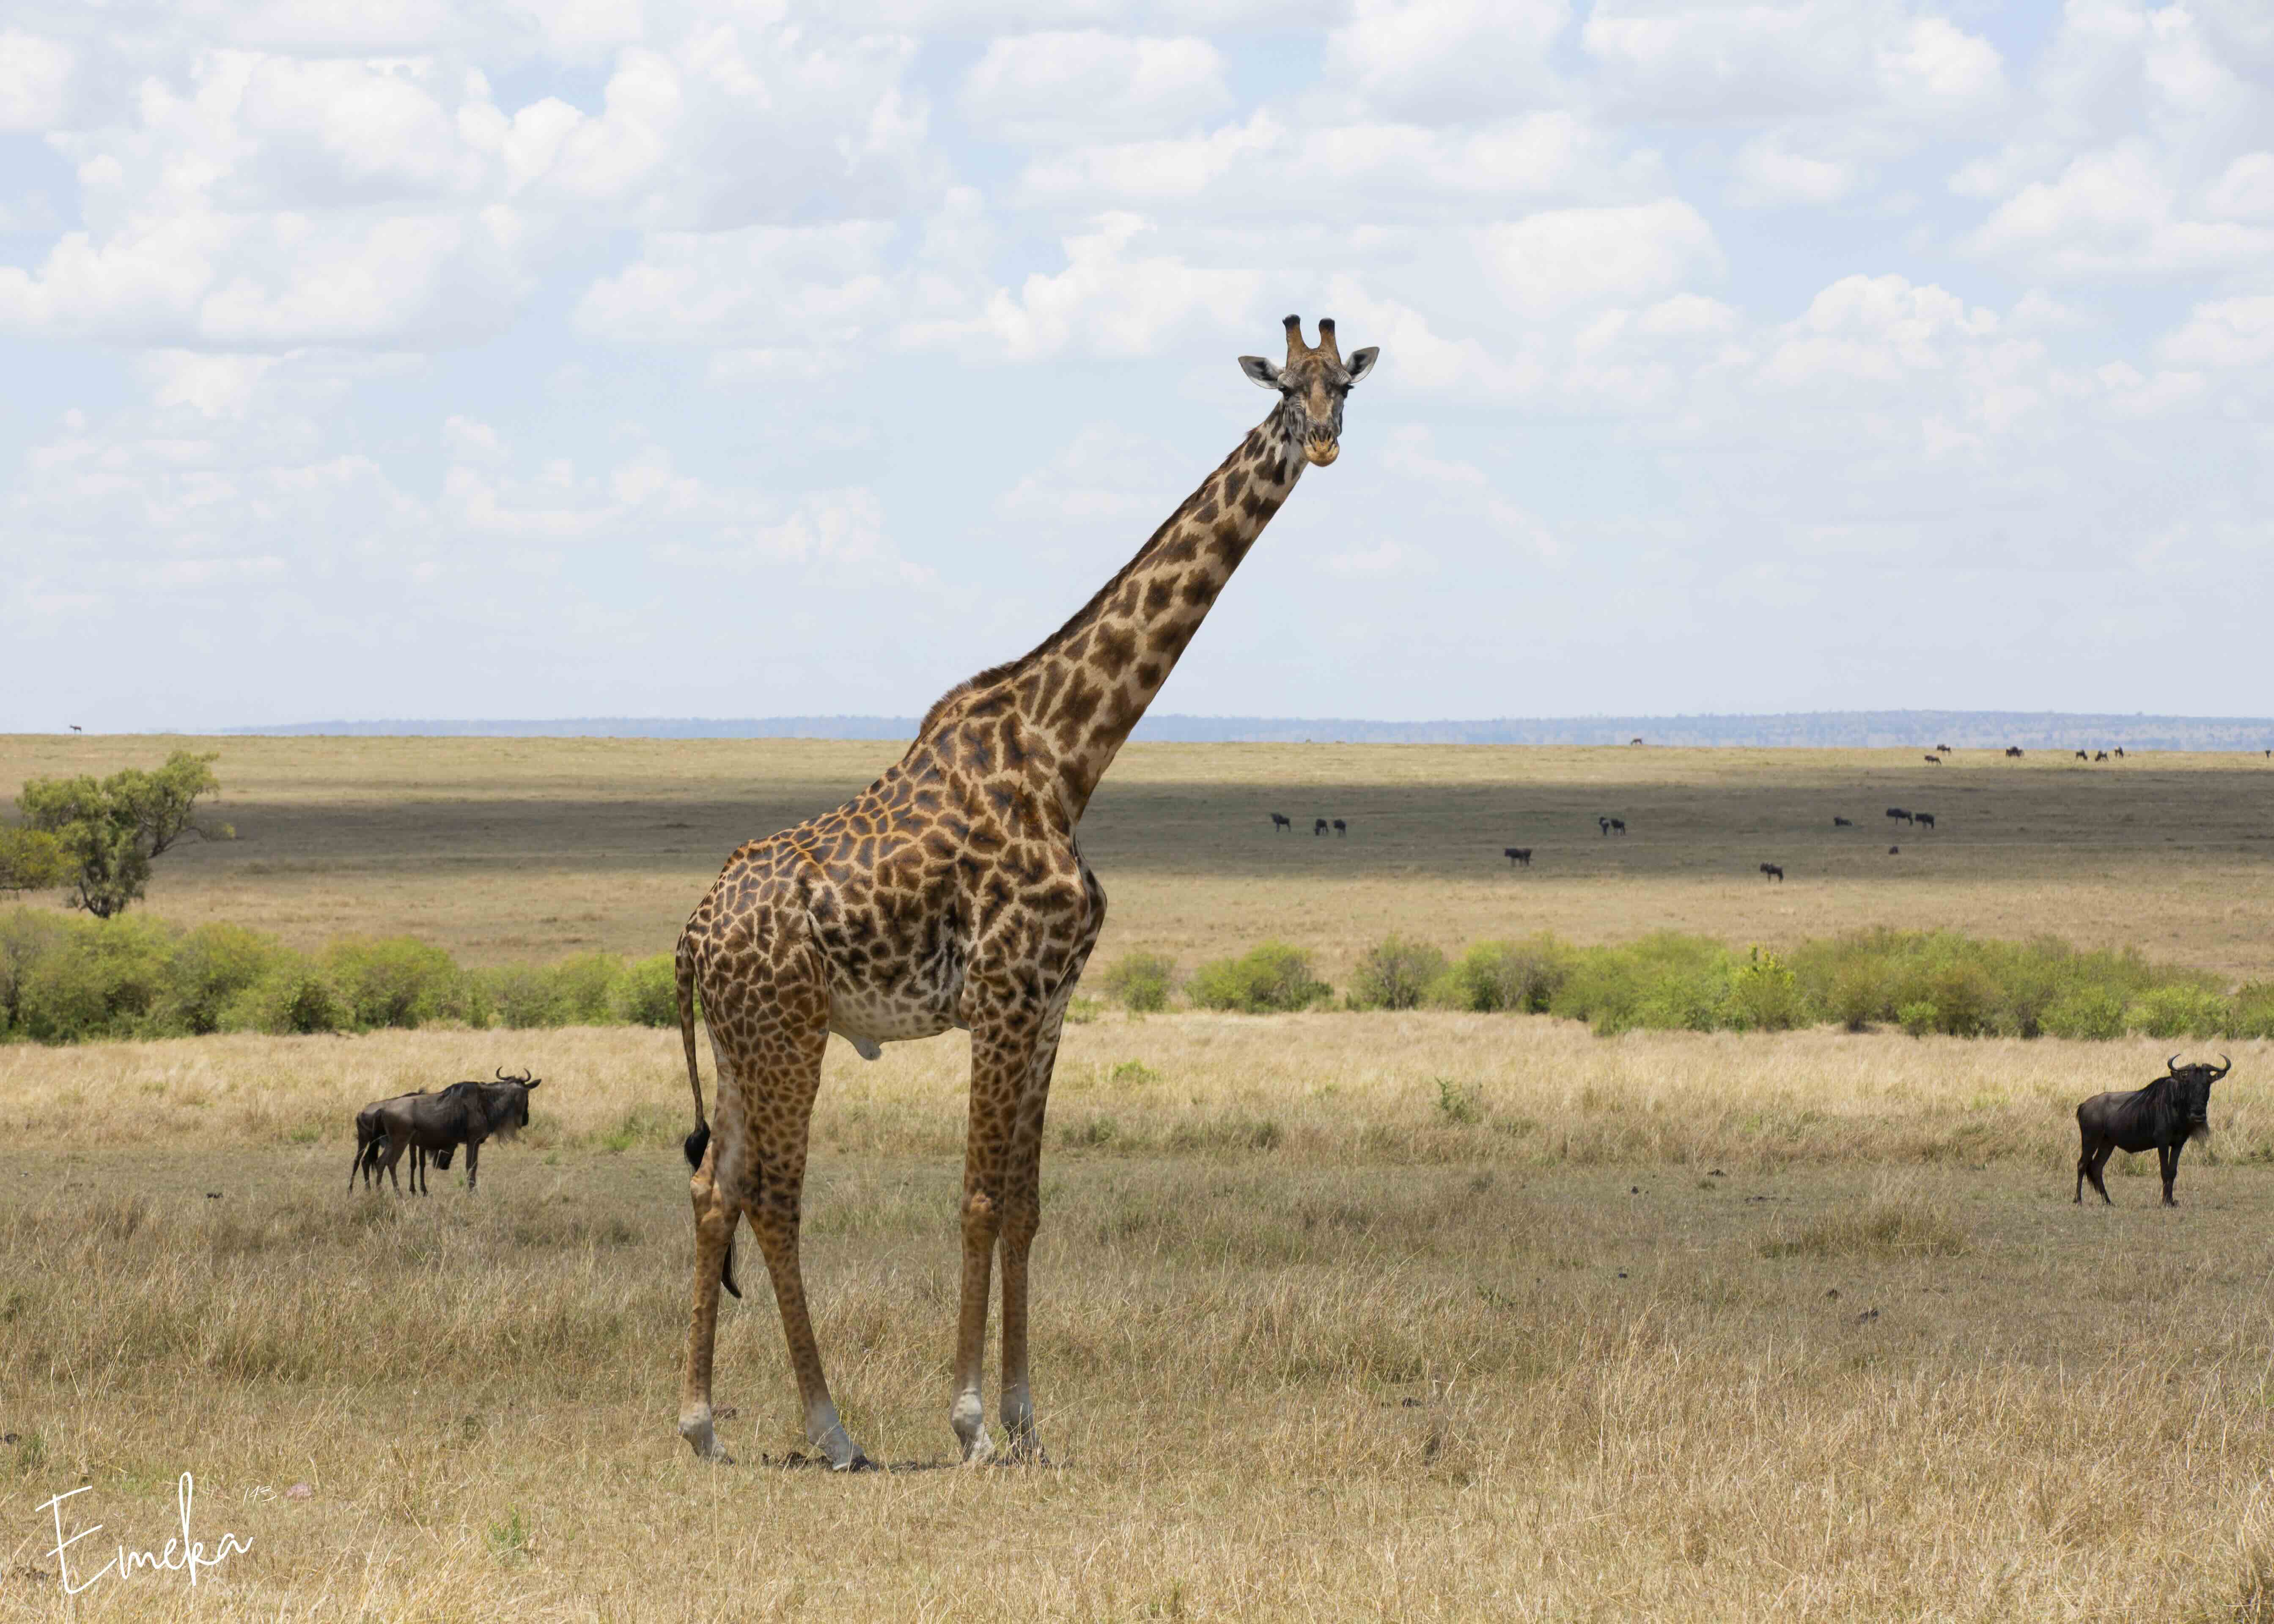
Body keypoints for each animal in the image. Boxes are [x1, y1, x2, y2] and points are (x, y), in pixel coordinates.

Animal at [2075, 1055, 2231, 1206]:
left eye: (2207, 1084)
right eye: (2188, 1083)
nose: (2198, 1115)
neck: (2177, 1104)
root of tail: (2084, 1105)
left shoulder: (2178, 1144)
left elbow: (2173, 1172)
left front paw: (2171, 1201)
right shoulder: (2162, 1142)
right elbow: (2165, 1171)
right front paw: (2165, 1202)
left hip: (2107, 1144)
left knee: (2097, 1168)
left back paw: (2108, 1201)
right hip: (2091, 1141)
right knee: (2082, 1164)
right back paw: (2078, 1200)